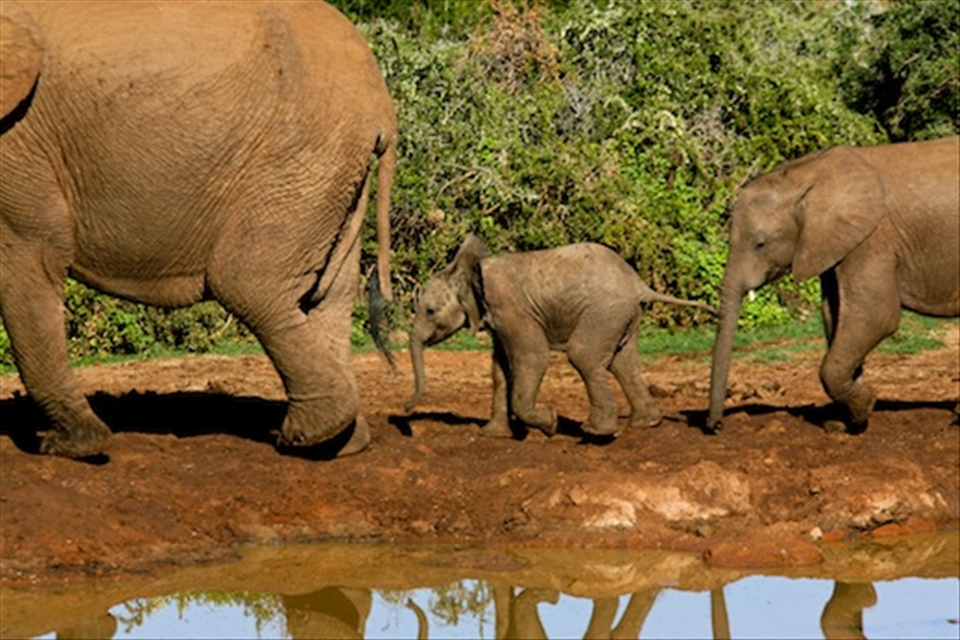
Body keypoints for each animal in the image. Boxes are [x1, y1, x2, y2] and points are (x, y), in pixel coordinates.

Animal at [0, 1, 396, 458]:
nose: (58, 441)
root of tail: (383, 106)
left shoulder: (16, 144)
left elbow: (30, 258)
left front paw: (70, 446)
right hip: (334, 173)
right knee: (329, 297)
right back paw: (341, 443)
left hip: (302, 157)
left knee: (249, 284)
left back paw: (301, 435)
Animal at [405, 235, 714, 438]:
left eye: (430, 311)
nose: (406, 410)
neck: (470, 270)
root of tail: (638, 284)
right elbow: (500, 368)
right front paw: (492, 434)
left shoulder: (511, 309)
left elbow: (532, 357)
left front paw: (550, 424)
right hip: (622, 316)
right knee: (622, 362)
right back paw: (644, 424)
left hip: (604, 312)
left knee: (584, 356)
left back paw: (595, 432)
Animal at [708, 136, 960, 433]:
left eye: (760, 244)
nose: (715, 427)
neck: (806, 175)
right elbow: (834, 315)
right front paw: (840, 423)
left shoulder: (871, 241)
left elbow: (875, 317)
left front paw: (865, 409)